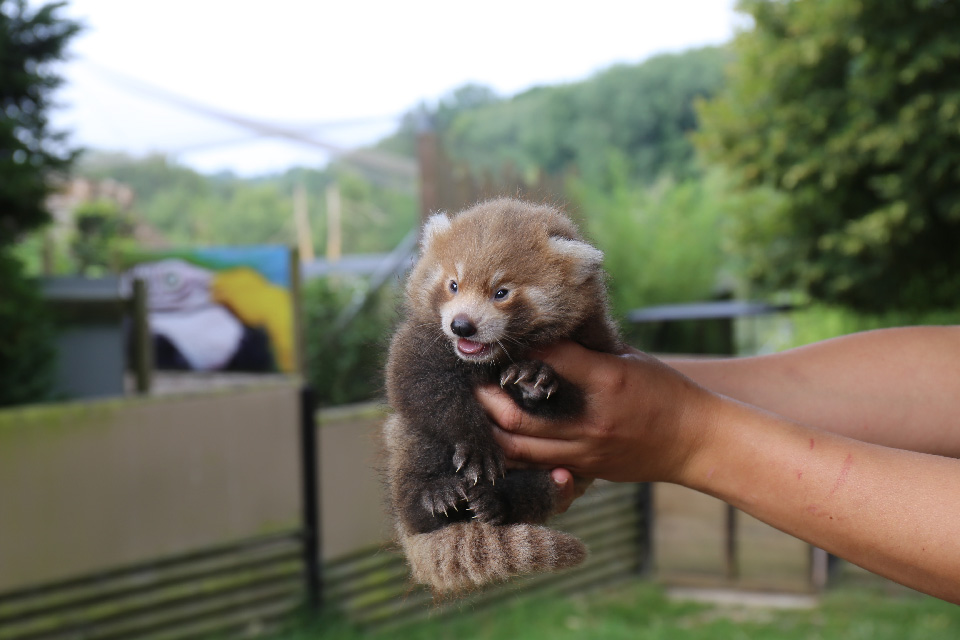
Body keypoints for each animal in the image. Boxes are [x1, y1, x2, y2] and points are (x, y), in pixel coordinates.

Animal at [382, 199, 624, 596]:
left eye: (501, 292)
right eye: (453, 285)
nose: (462, 326)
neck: (488, 360)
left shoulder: (595, 347)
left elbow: (572, 405)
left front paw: (535, 382)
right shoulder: (419, 341)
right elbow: (418, 384)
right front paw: (476, 441)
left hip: (560, 475)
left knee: (540, 487)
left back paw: (497, 501)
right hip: (405, 444)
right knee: (415, 443)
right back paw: (432, 496)